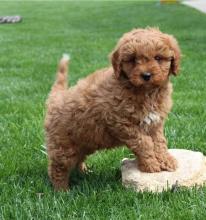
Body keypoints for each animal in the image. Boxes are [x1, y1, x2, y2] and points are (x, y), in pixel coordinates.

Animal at [45, 27, 182, 190]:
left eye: (158, 57)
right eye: (132, 59)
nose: (146, 75)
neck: (145, 92)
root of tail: (57, 97)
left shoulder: (155, 123)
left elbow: (160, 142)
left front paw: (166, 161)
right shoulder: (121, 123)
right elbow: (144, 143)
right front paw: (151, 166)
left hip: (84, 141)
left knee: (78, 158)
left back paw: (84, 172)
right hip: (63, 144)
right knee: (57, 167)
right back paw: (62, 190)